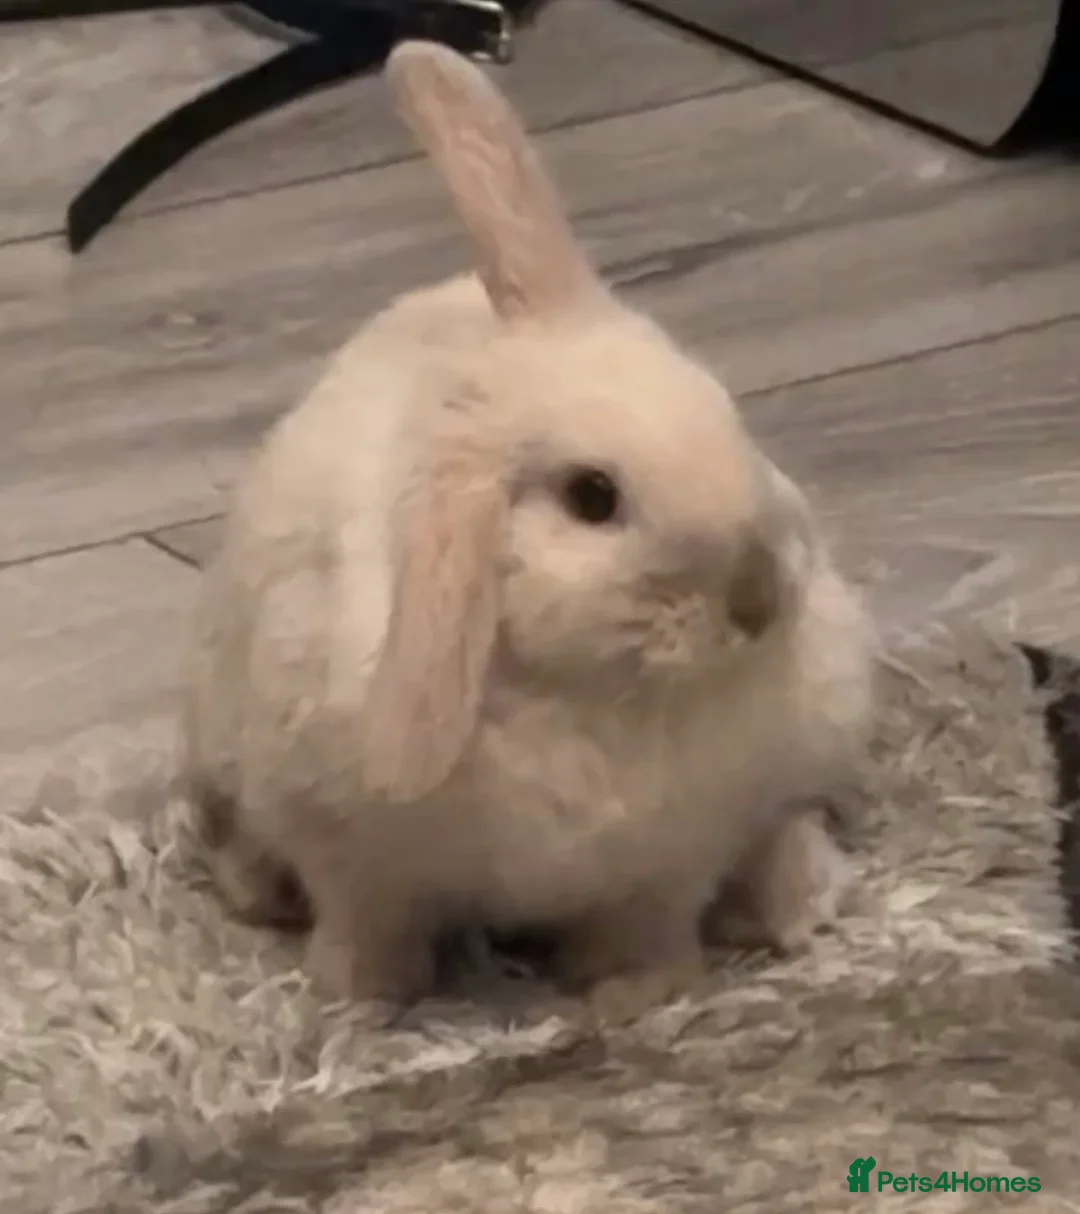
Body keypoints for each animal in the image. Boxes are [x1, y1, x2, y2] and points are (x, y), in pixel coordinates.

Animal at [180, 39, 875, 1022]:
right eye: (593, 497)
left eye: (727, 409)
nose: (762, 600)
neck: (581, 692)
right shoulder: (351, 855)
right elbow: (368, 921)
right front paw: (362, 999)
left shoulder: (667, 866)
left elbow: (648, 928)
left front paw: (633, 998)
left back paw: (789, 904)